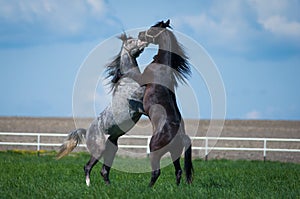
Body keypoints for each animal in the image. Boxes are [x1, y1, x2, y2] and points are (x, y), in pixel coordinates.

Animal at [56, 33, 148, 185]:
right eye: (131, 41)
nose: (145, 40)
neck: (129, 80)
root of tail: (87, 132)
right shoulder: (139, 104)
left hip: (112, 148)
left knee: (104, 170)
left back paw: (108, 187)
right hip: (99, 150)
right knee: (87, 167)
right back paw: (89, 185)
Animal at [137, 20, 193, 187]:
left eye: (152, 29)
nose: (140, 34)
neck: (162, 66)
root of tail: (181, 135)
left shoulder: (141, 79)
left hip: (155, 152)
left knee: (156, 172)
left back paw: (148, 188)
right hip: (175, 153)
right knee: (178, 171)